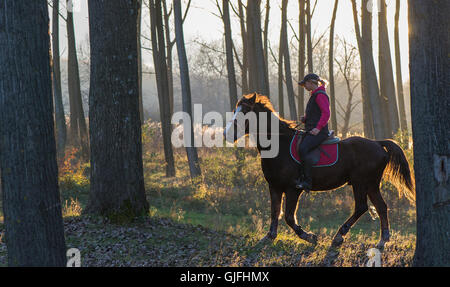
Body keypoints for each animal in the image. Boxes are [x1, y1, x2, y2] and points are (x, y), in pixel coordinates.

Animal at [223, 93, 416, 250]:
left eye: (244, 112)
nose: (226, 134)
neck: (279, 145)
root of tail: (377, 143)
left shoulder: (293, 189)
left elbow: (289, 217)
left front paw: (309, 237)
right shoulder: (275, 187)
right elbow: (275, 212)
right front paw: (269, 237)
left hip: (360, 183)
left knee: (361, 207)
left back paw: (339, 236)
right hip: (371, 184)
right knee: (381, 207)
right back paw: (382, 241)